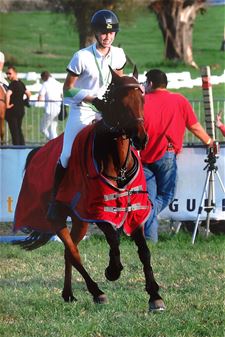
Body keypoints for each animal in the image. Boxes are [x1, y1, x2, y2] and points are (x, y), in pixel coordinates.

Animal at [14, 67, 165, 312]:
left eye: (142, 99)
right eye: (121, 102)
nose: (141, 138)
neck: (117, 161)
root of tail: (37, 152)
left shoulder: (134, 211)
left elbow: (144, 251)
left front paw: (154, 295)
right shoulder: (97, 211)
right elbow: (113, 238)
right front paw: (113, 270)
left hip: (79, 222)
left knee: (69, 252)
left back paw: (69, 293)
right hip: (57, 218)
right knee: (73, 253)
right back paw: (96, 291)